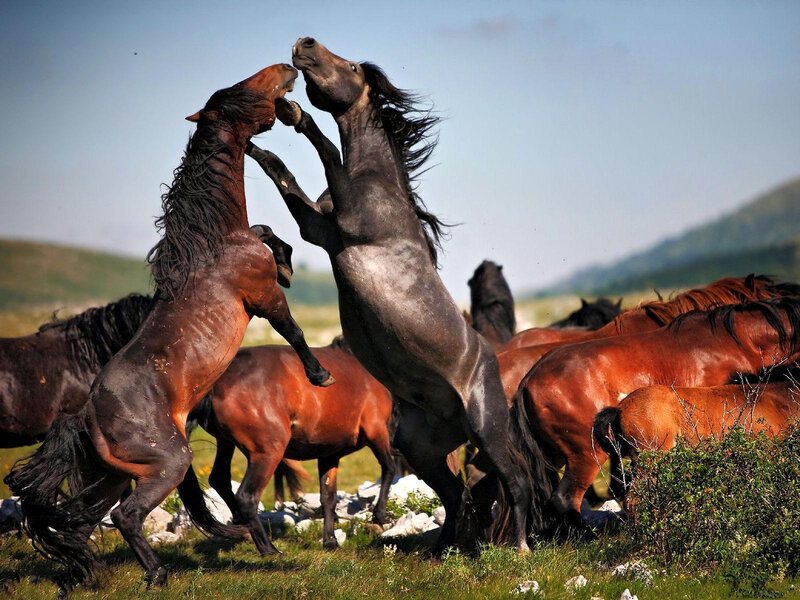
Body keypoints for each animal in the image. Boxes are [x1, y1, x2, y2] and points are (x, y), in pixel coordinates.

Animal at [178, 336, 395, 551]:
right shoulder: (377, 431)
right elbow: (389, 468)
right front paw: (380, 516)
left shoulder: (329, 453)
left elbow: (328, 498)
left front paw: (330, 541)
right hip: (268, 453)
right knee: (246, 497)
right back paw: (268, 549)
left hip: (226, 442)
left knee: (220, 479)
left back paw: (244, 529)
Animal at [245, 37, 534, 554]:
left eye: (352, 66)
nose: (304, 44)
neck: (378, 182)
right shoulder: (320, 229)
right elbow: (283, 177)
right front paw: (258, 142)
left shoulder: (345, 223)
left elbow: (325, 151)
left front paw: (295, 114)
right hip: (422, 448)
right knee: (457, 494)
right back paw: (442, 550)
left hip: (487, 429)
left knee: (515, 483)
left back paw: (518, 548)